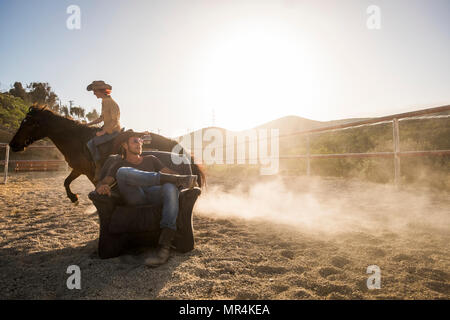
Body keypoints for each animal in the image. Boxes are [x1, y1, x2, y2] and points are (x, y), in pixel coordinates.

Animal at [9, 105, 206, 202]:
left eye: (28, 123)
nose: (13, 144)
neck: (77, 139)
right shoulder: (79, 169)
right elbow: (66, 182)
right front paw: (75, 198)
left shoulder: (88, 171)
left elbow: (76, 183)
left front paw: (75, 198)